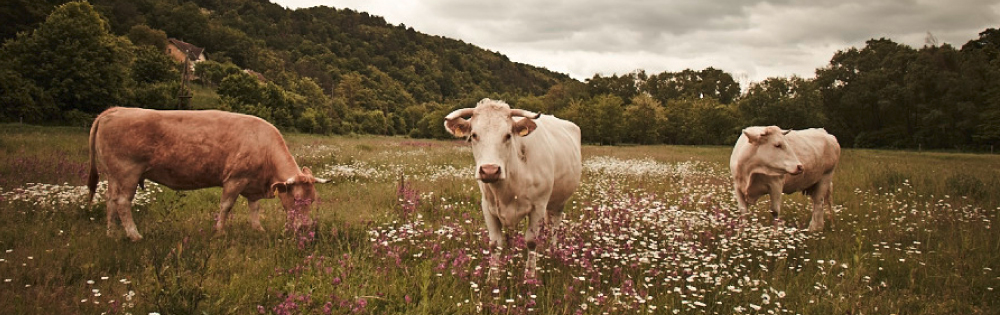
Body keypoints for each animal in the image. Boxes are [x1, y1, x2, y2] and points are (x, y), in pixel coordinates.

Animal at [86, 107, 328, 241]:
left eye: (312, 199)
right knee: (122, 202)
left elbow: (254, 208)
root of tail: (113, 111)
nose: (306, 228)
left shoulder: (252, 184)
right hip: (128, 171)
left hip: (113, 174)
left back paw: (112, 233)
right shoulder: (235, 179)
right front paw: (220, 232)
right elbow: (226, 206)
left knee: (110, 201)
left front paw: (257, 228)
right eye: (297, 200)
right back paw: (134, 235)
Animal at [442, 99, 584, 278]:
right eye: (474, 135)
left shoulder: (538, 206)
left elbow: (531, 242)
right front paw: (493, 278)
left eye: (508, 135)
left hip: (559, 201)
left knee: (555, 227)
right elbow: (495, 243)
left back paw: (552, 251)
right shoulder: (487, 206)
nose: (490, 170)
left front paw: (529, 277)